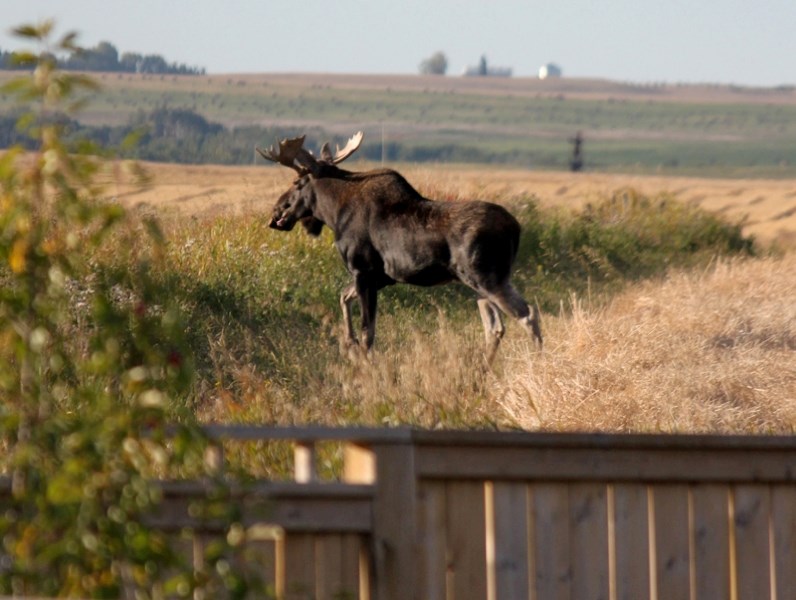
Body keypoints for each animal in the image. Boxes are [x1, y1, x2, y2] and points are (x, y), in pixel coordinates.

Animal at [258, 131, 544, 360]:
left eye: (297, 183)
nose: (276, 211)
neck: (334, 214)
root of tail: (516, 228)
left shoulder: (363, 271)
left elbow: (368, 330)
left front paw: (364, 363)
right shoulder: (383, 277)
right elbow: (343, 297)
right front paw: (349, 343)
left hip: (486, 278)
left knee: (526, 314)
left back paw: (536, 363)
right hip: (481, 283)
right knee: (495, 327)